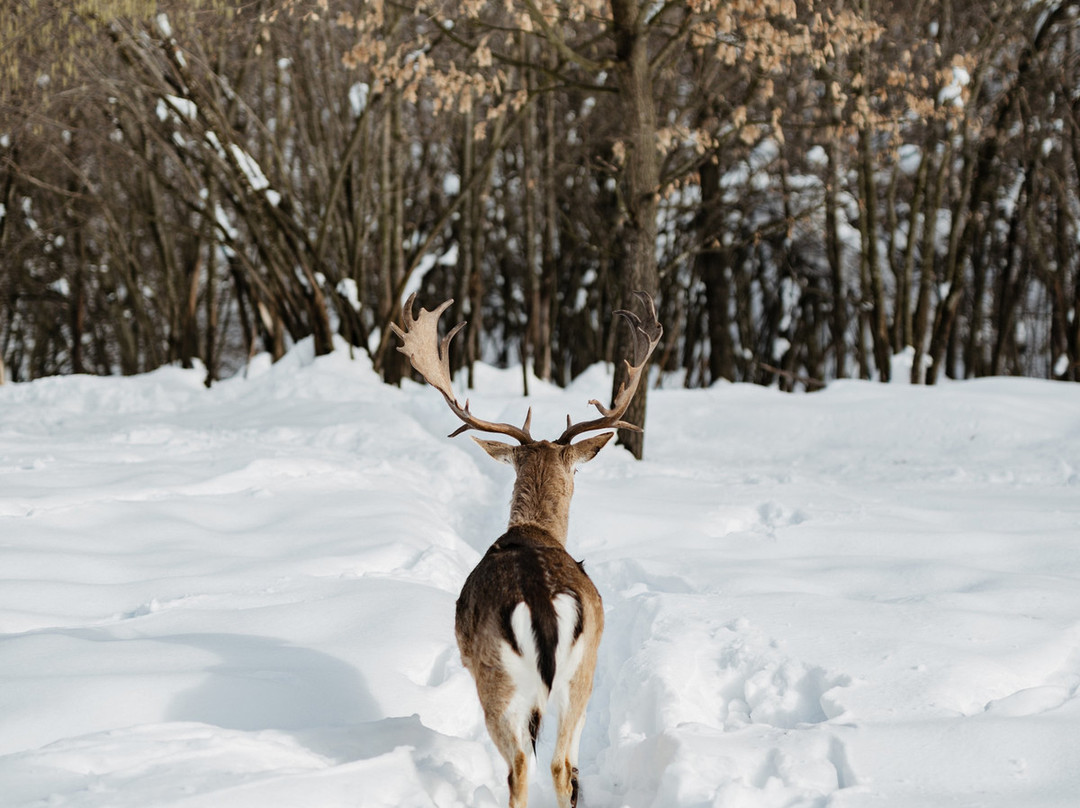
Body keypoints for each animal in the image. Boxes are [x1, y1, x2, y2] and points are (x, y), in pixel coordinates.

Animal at [388, 291, 656, 808]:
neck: (535, 531)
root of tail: (540, 604)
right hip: (579, 670)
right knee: (559, 765)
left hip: (498, 676)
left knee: (523, 766)